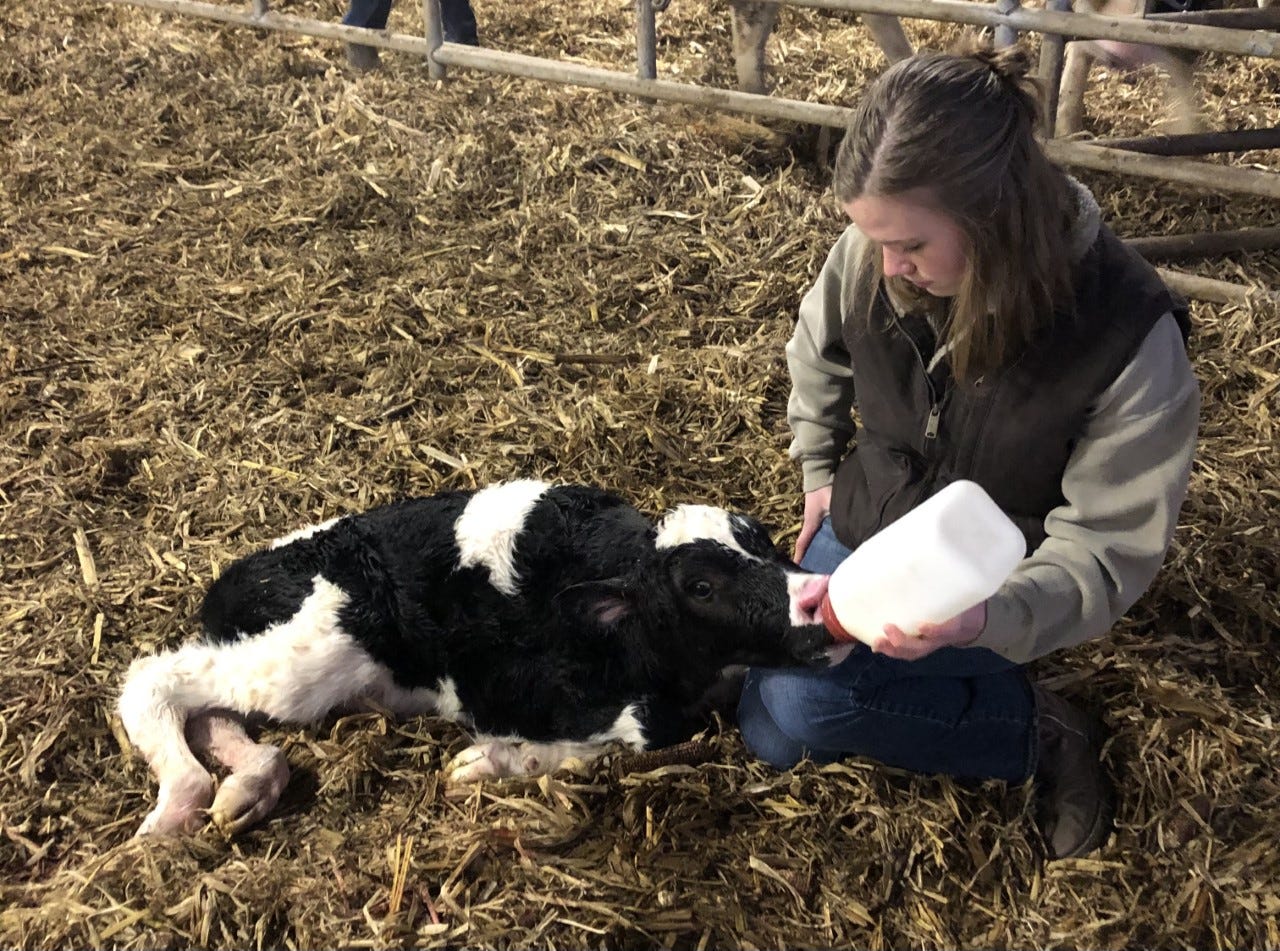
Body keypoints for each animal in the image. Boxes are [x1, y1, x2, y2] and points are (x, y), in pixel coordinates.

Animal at [120, 478, 834, 834]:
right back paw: (180, 804)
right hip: (313, 654)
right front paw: (490, 761)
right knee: (154, 680)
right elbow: (631, 733)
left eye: (762, 539)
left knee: (214, 711)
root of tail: (234, 578)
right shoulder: (508, 690)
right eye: (700, 586)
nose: (815, 600)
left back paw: (244, 788)